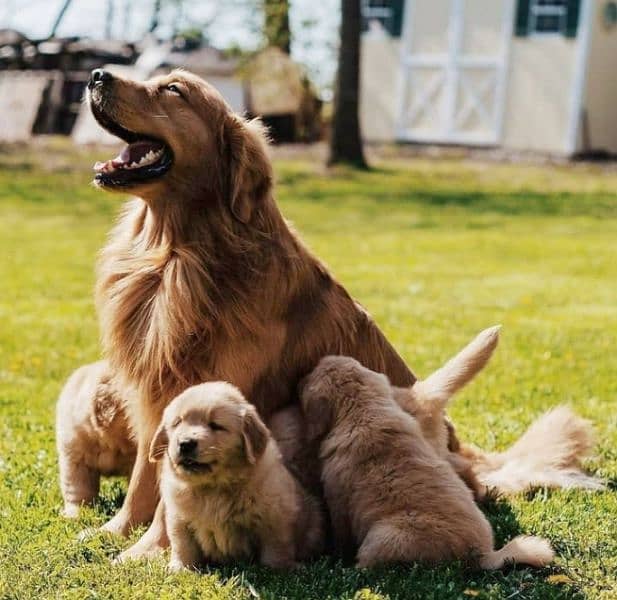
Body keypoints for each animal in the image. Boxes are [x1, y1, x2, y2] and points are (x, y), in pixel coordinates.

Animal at [149, 382, 322, 568]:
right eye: (177, 423)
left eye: (216, 425)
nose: (185, 444)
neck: (212, 487)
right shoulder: (179, 518)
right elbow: (183, 545)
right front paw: (180, 567)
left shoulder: (276, 516)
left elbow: (276, 547)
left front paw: (281, 567)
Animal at [302, 356, 552, 572]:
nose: (301, 376)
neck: (364, 411)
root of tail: (485, 555)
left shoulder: (338, 499)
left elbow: (340, 534)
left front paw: (335, 557)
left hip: (383, 535)